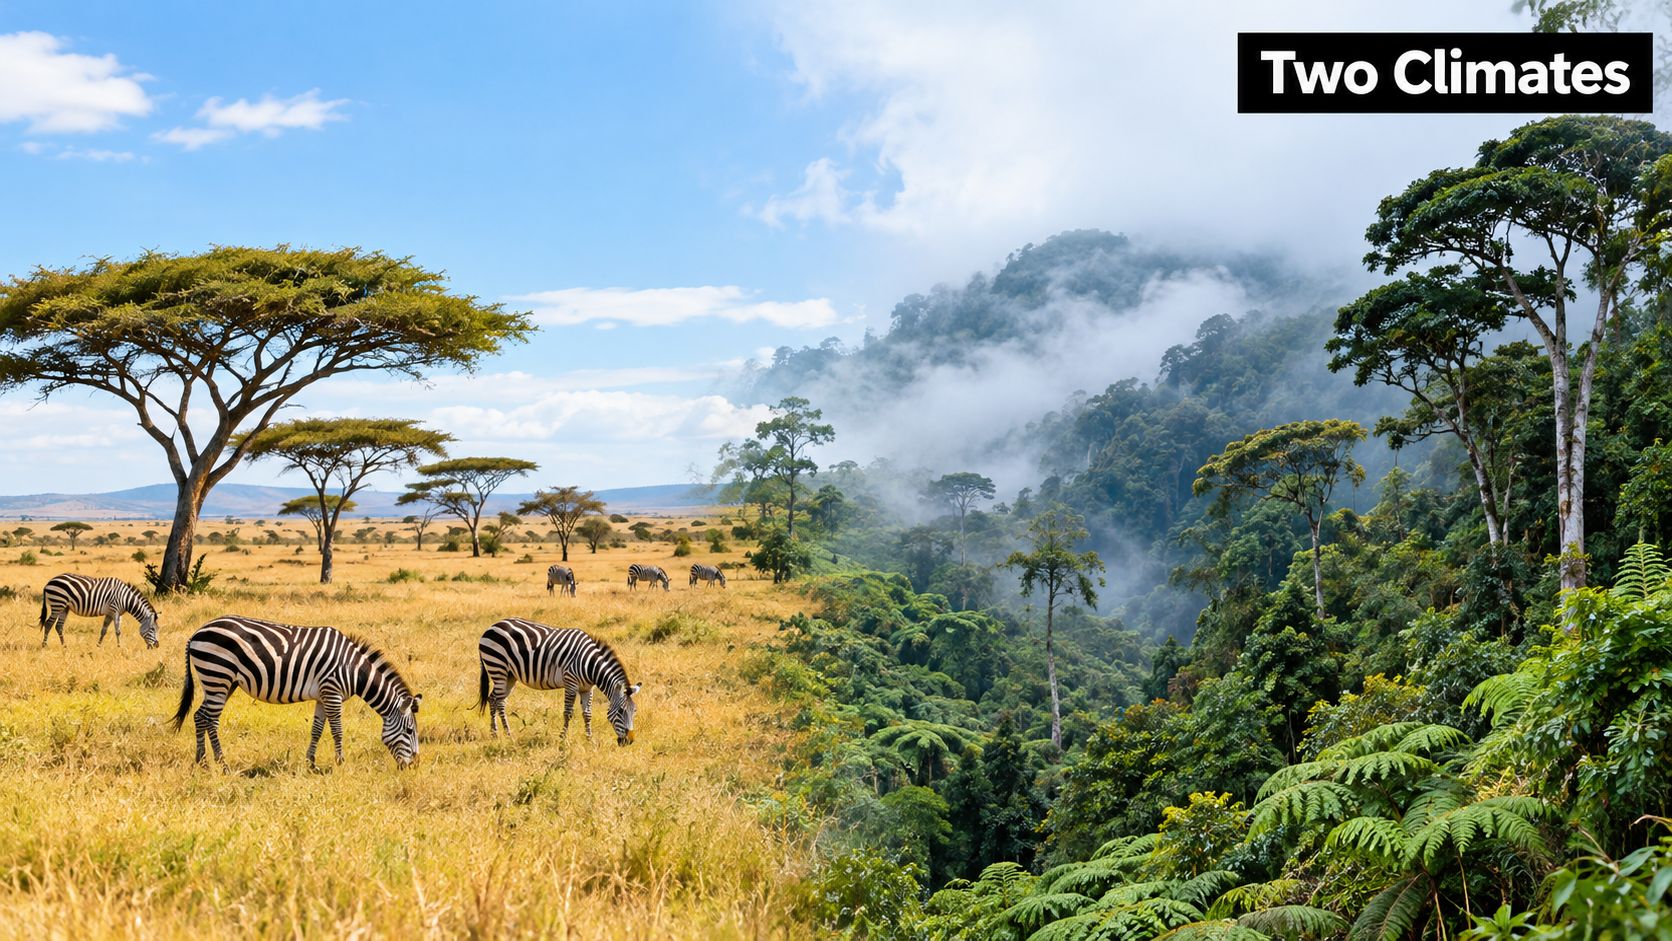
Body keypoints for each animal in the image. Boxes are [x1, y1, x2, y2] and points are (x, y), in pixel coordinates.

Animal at [170, 615, 422, 770]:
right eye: (410, 731)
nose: (414, 765)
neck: (353, 669)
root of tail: (197, 632)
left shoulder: (323, 695)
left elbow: (317, 730)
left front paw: (311, 763)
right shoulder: (332, 691)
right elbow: (337, 730)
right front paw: (340, 762)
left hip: (220, 681)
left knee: (200, 716)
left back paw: (202, 762)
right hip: (217, 675)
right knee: (211, 719)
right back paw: (222, 763)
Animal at [476, 617, 641, 745]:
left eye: (634, 711)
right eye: (620, 711)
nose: (629, 741)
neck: (589, 665)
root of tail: (492, 626)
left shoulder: (587, 688)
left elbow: (587, 714)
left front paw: (590, 739)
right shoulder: (571, 682)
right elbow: (568, 713)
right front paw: (563, 739)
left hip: (510, 675)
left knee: (496, 700)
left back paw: (501, 734)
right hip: (497, 667)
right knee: (496, 700)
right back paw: (500, 734)